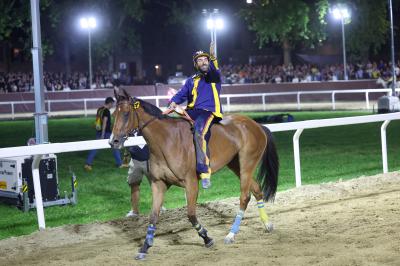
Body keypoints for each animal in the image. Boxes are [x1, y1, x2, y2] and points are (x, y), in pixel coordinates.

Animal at [108, 90, 278, 260]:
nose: (113, 141)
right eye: (114, 114)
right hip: (236, 165)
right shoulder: (159, 183)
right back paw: (267, 224)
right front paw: (145, 247)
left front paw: (206, 237)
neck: (167, 140)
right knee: (256, 189)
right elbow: (153, 216)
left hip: (247, 165)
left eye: (126, 113)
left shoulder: (191, 183)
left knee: (245, 196)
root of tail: (256, 125)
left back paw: (231, 234)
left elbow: (190, 214)